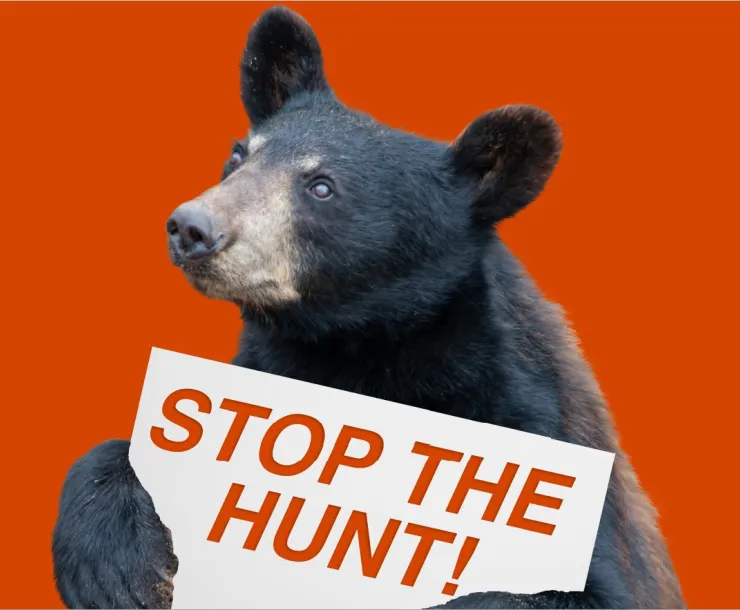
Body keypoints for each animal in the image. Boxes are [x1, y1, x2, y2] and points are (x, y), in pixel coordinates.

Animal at [51, 5, 685, 609]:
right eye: (237, 156)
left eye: (322, 186)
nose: (192, 227)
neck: (359, 350)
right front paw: (118, 569)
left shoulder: (537, 437)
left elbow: (574, 589)